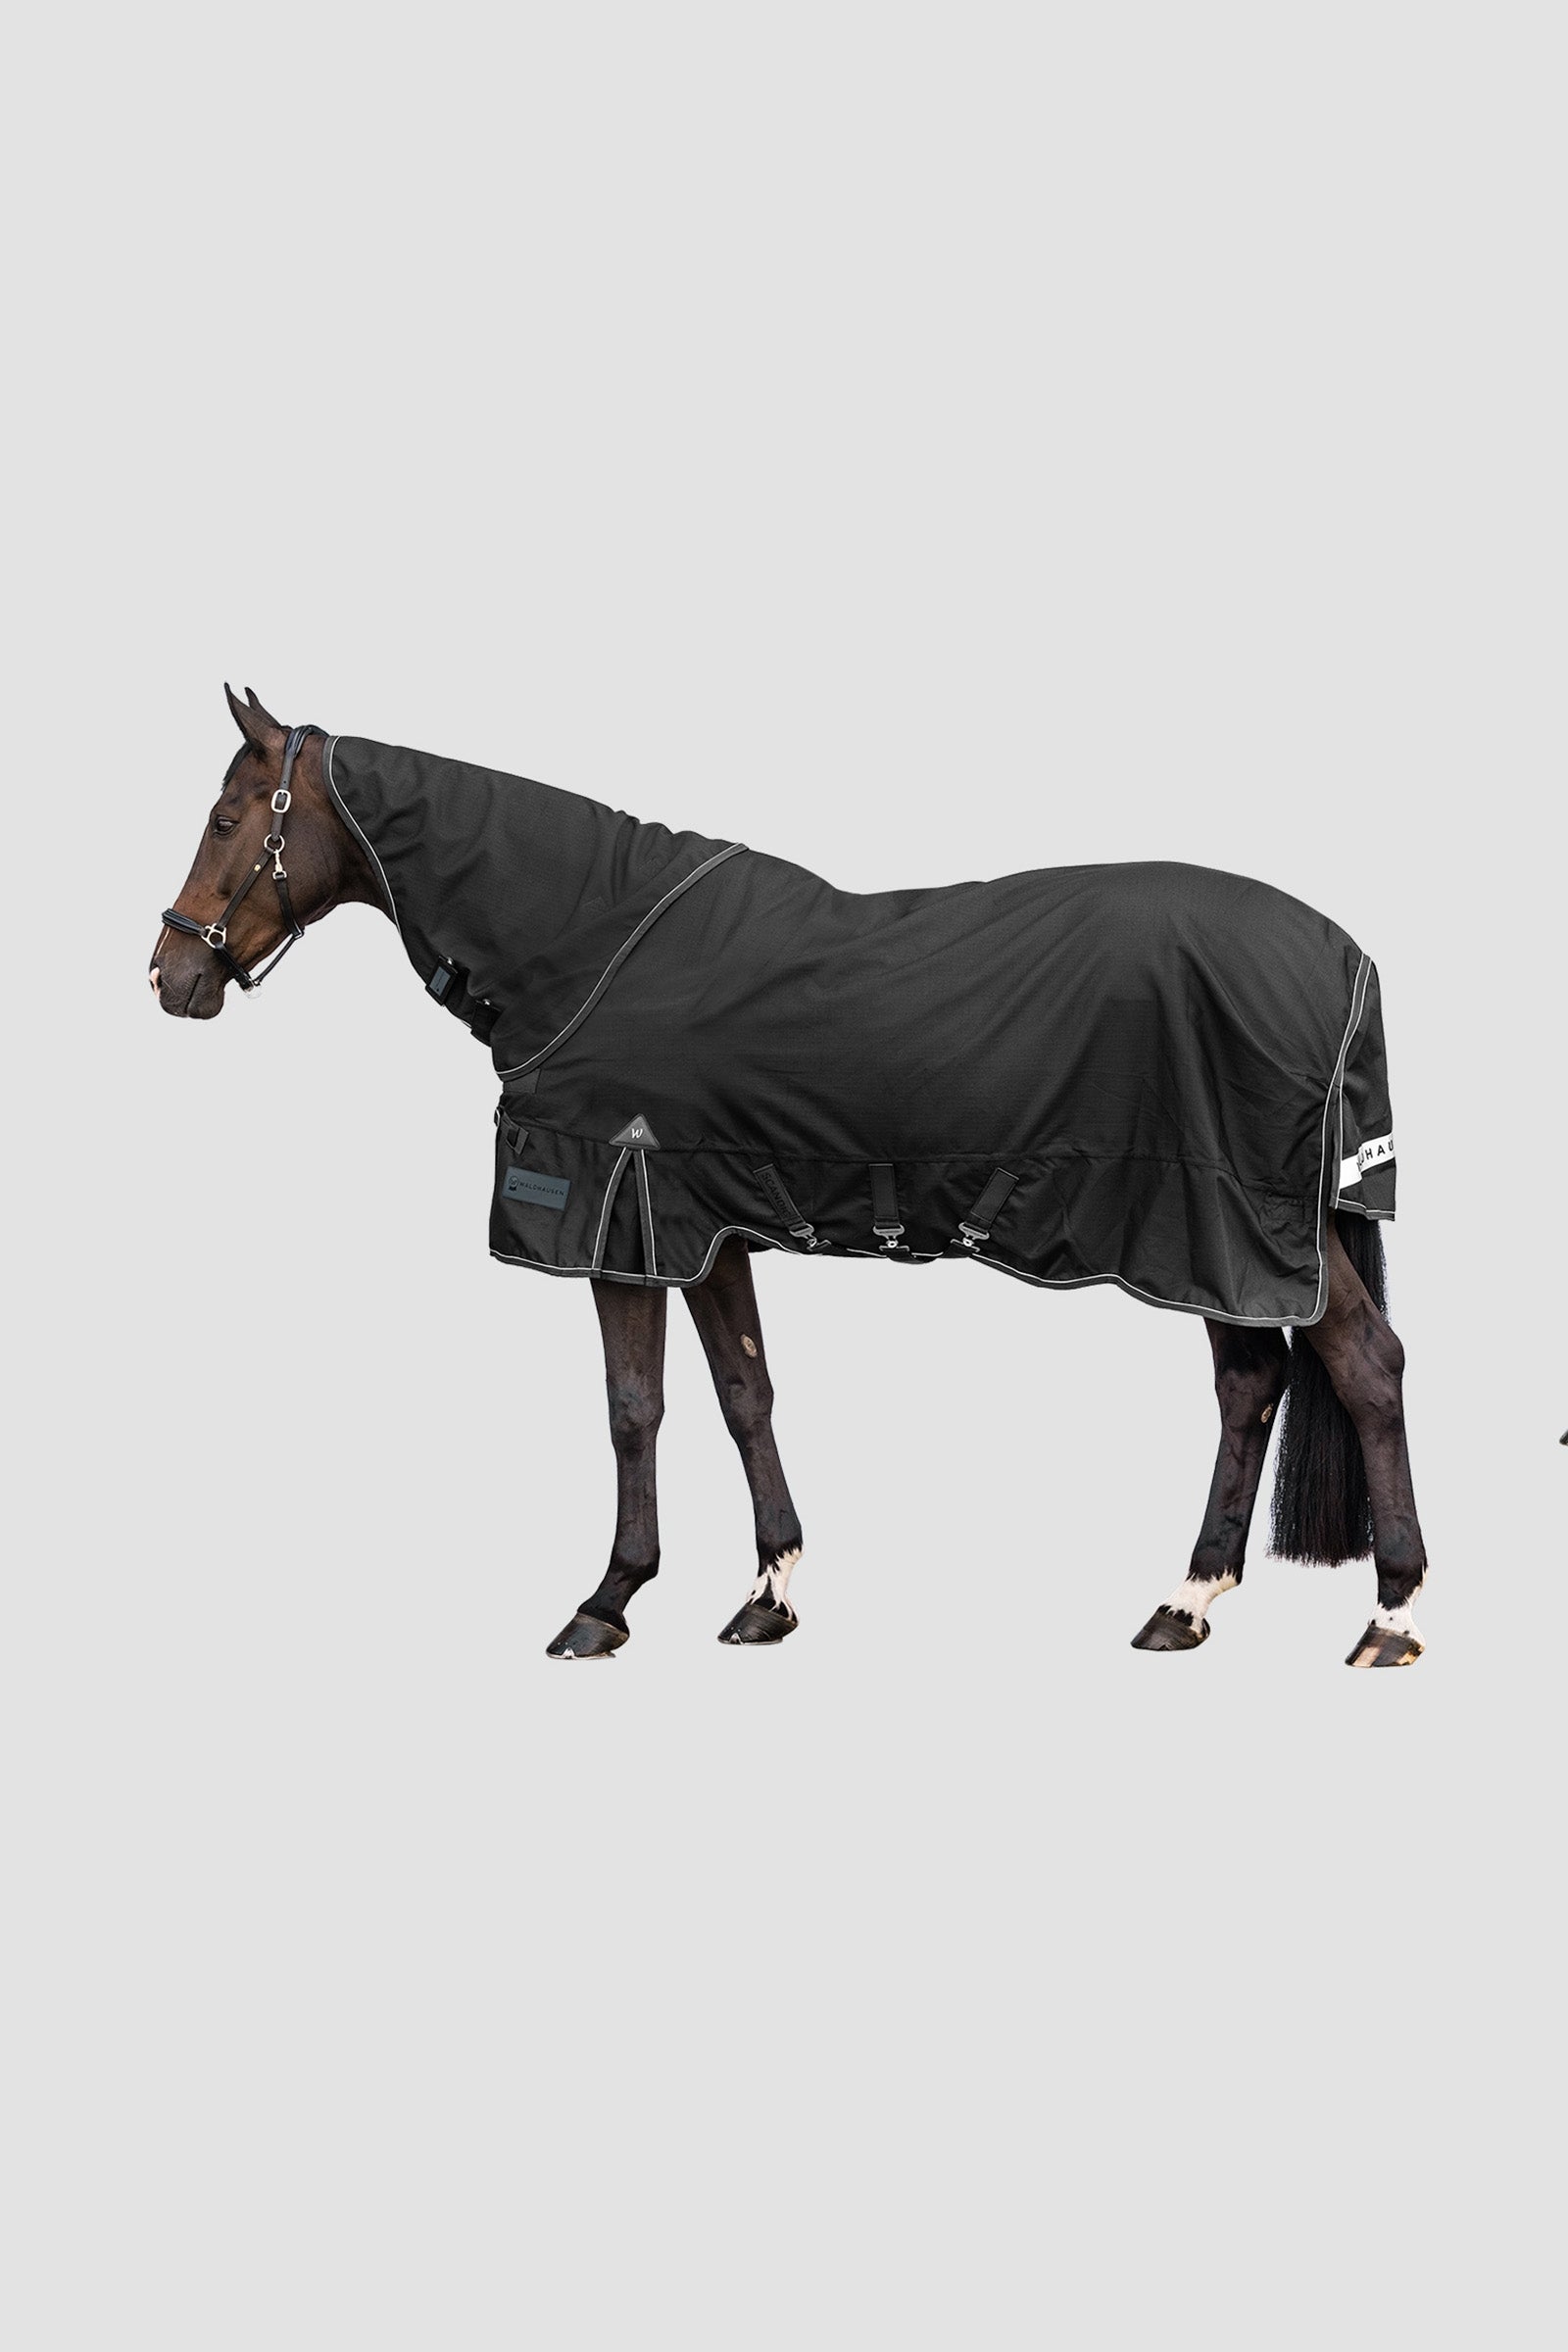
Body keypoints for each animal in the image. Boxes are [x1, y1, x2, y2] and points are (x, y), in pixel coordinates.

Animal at [151, 688, 1429, 1668]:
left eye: (225, 816)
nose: (168, 974)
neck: (587, 939)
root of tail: (1343, 955)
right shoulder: (703, 1227)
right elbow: (743, 1394)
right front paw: (768, 1594)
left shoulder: (621, 1221)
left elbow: (633, 1408)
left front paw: (605, 1604)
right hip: (1217, 1239)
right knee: (1251, 1384)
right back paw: (1186, 1602)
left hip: (1238, 1222)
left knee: (1362, 1369)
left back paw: (1390, 1617)